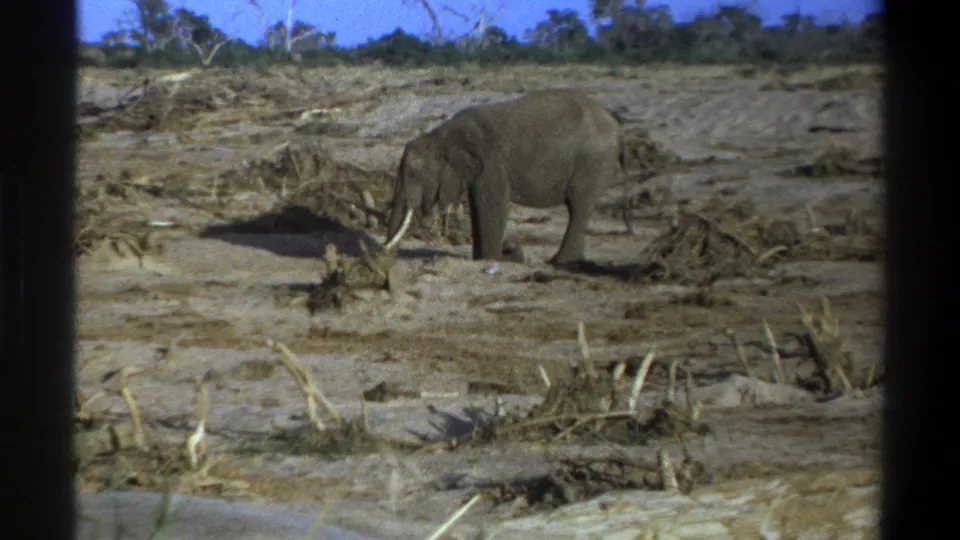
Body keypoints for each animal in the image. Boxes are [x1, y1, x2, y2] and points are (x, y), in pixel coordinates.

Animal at [380, 89, 631, 265]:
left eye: (414, 173)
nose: (387, 257)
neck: (441, 135)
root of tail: (617, 125)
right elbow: (478, 205)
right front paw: (485, 259)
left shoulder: (491, 161)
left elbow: (493, 204)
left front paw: (493, 259)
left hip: (593, 161)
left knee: (579, 204)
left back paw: (560, 262)